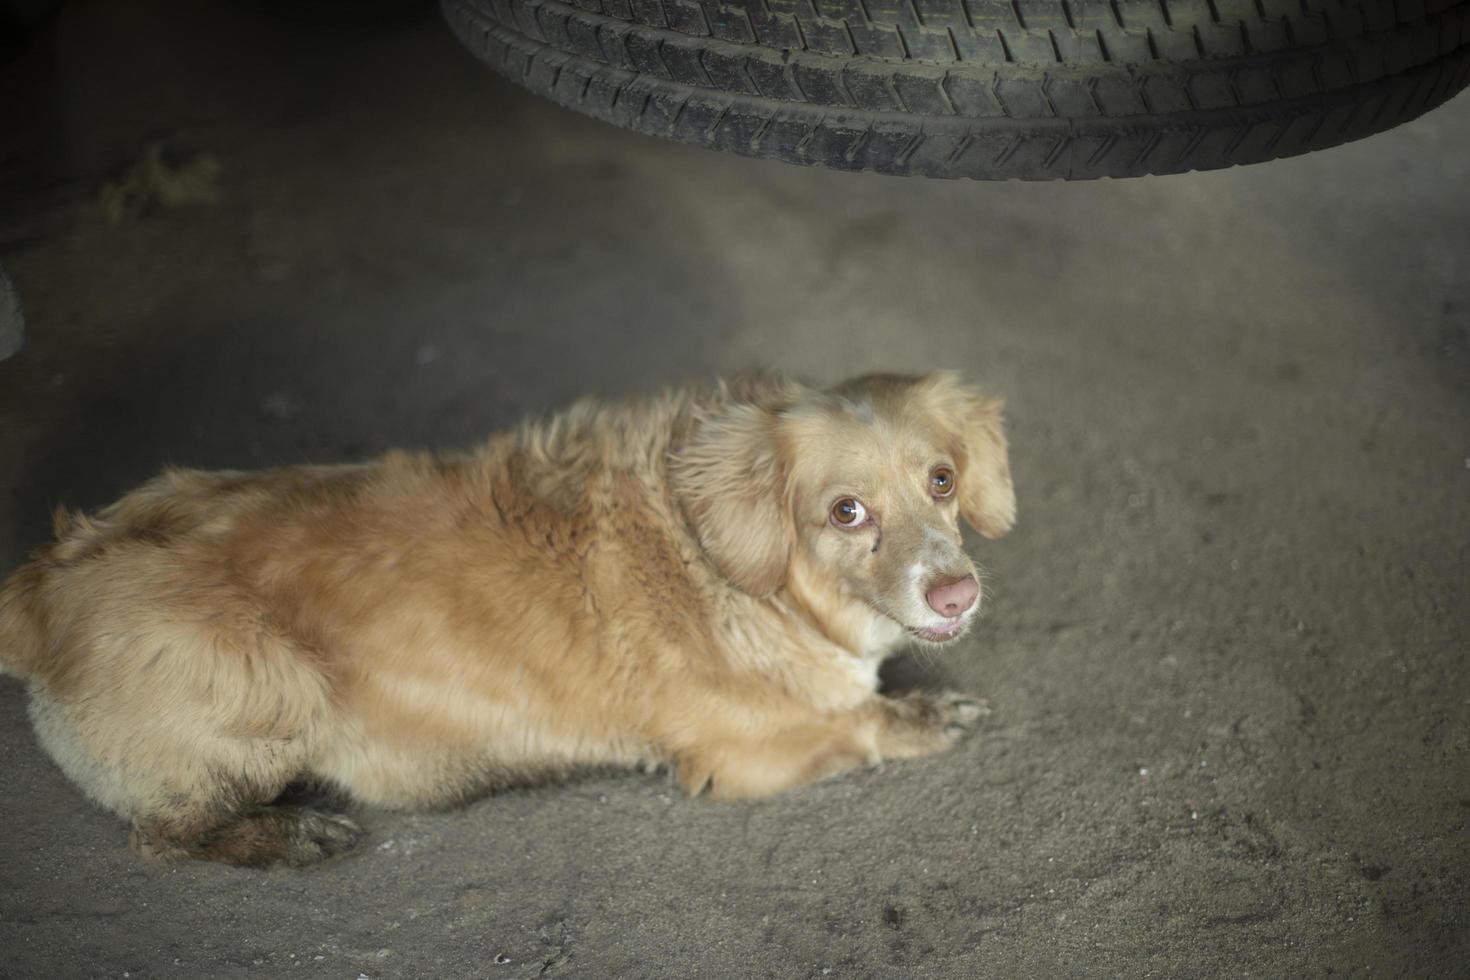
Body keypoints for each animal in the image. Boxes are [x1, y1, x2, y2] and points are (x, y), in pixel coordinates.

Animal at [0, 371, 1011, 869]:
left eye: (942, 480)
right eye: (846, 511)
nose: (957, 595)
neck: (727, 561)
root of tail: (40, 582)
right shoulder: (741, 752)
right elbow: (860, 722)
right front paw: (922, 716)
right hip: (265, 685)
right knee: (163, 835)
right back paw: (286, 836)